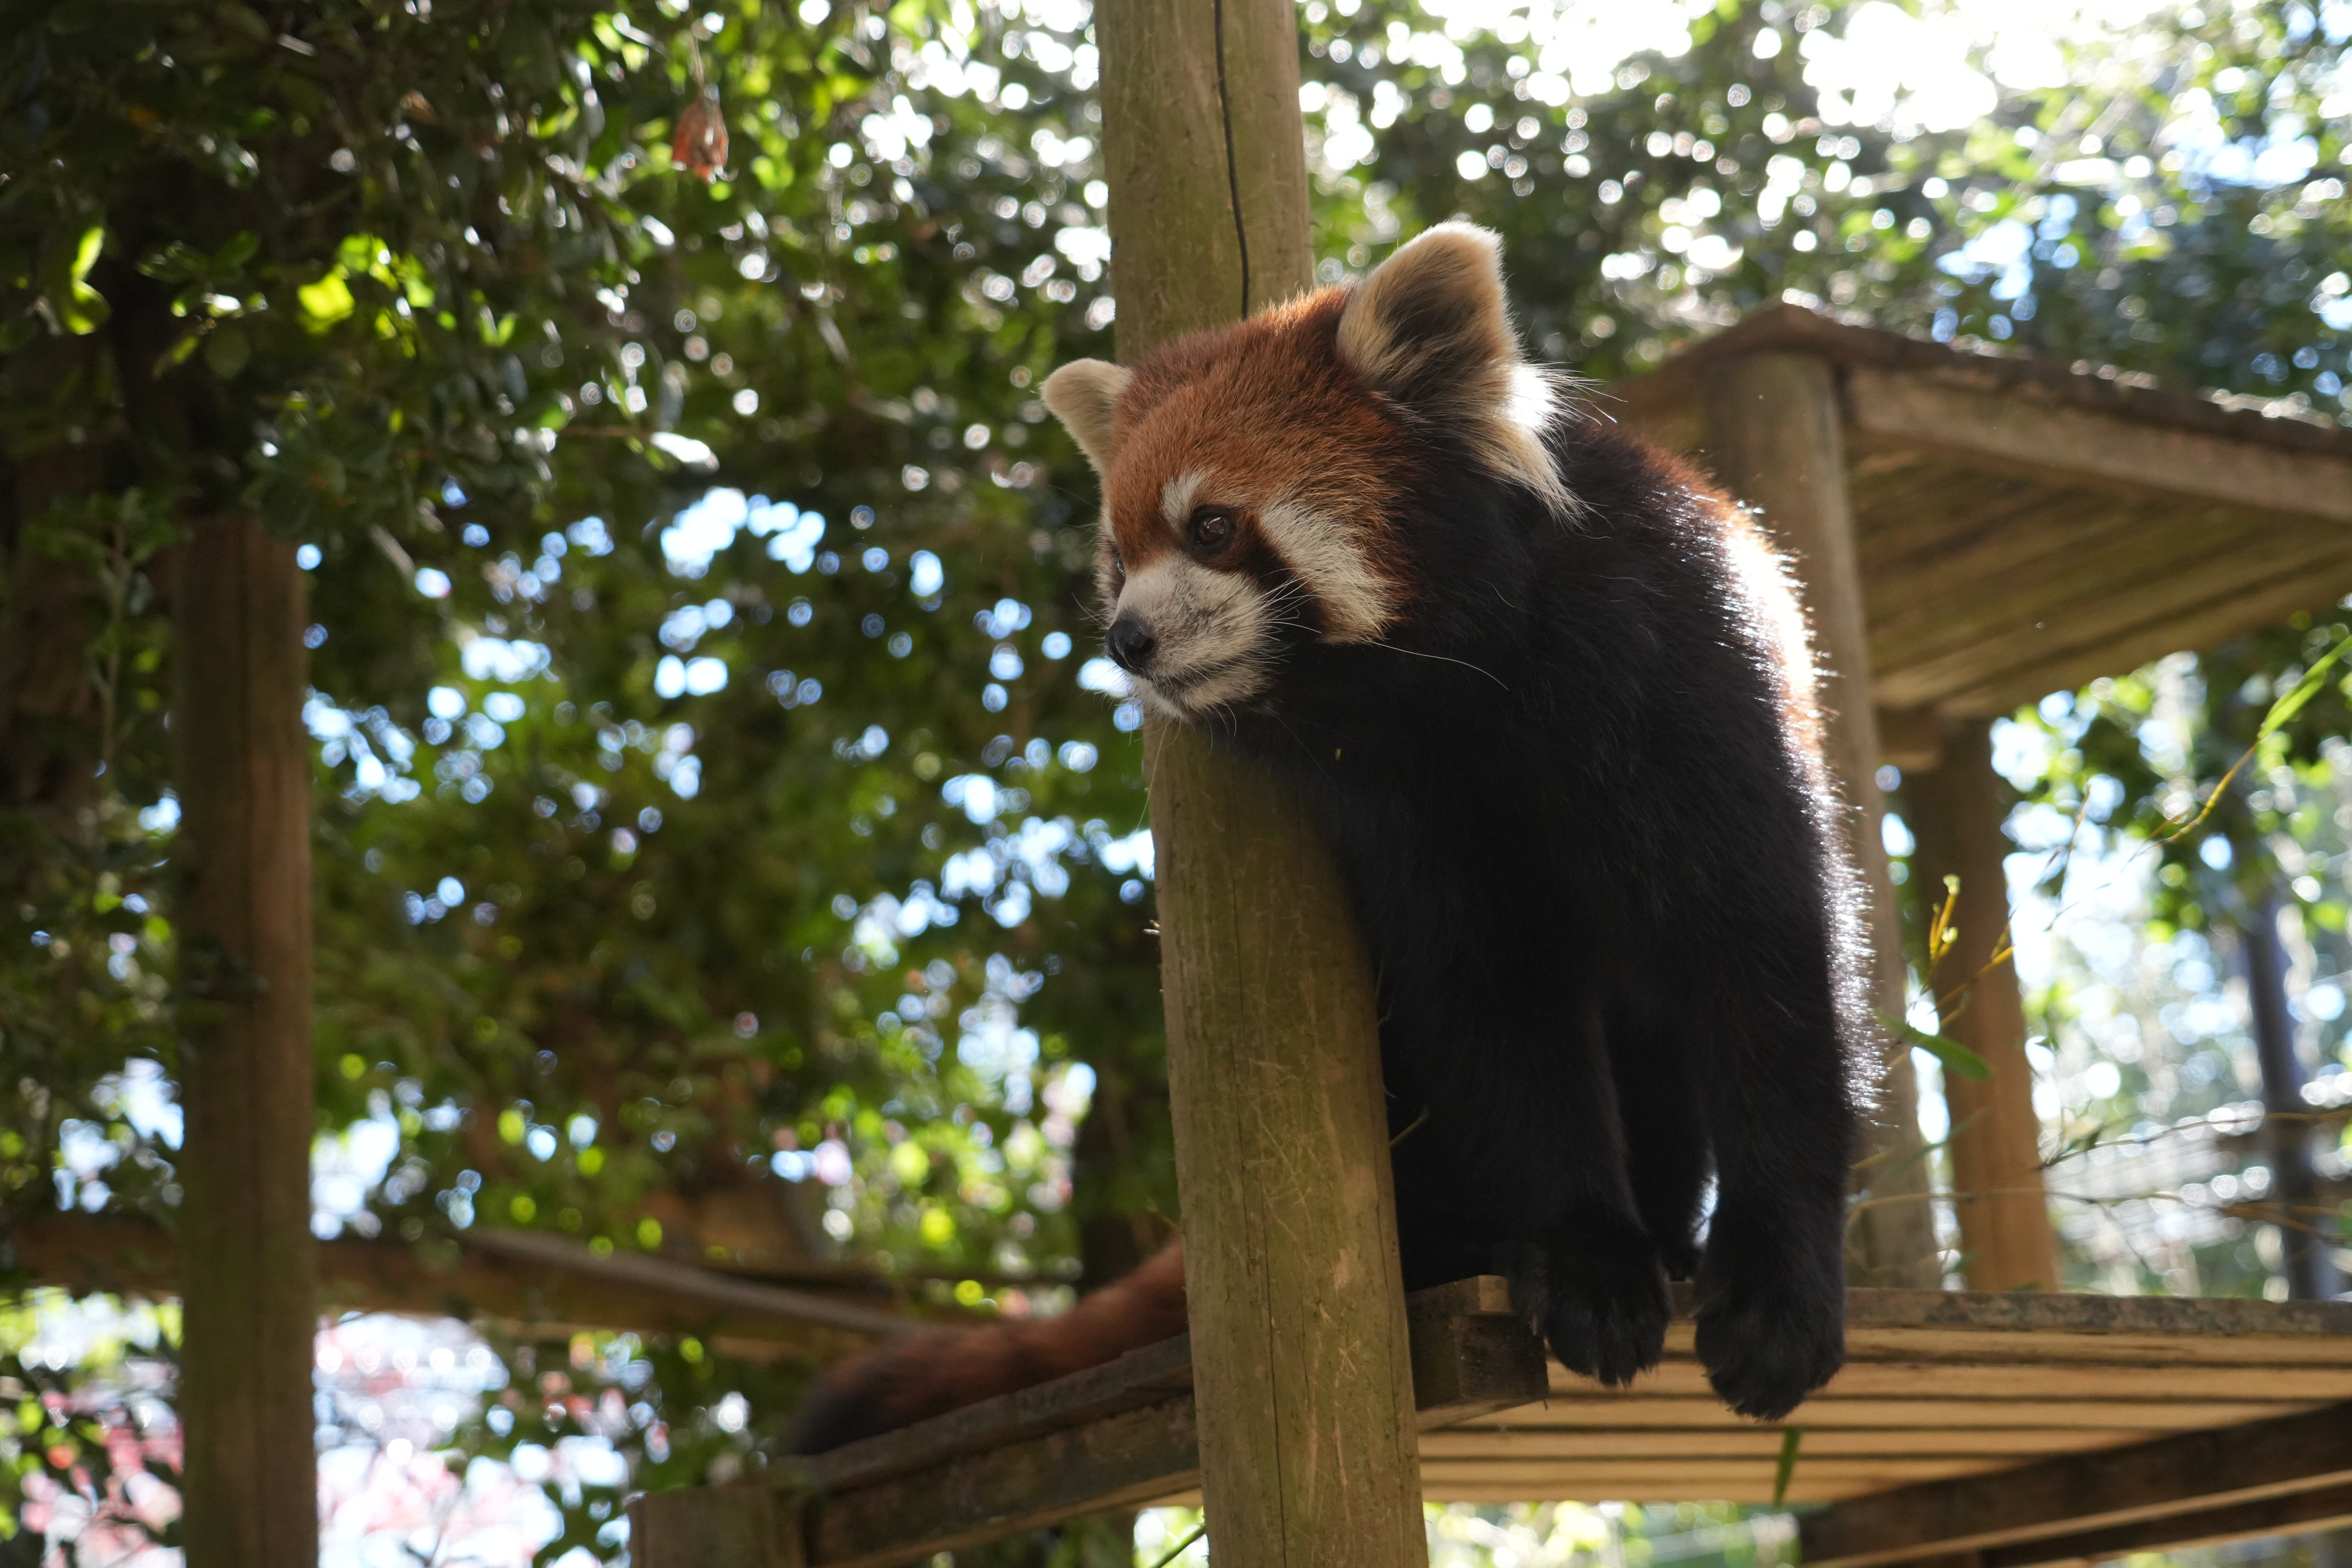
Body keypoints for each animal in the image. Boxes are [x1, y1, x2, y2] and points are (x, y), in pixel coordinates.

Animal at [799, 217, 1863, 1448]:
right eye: (1117, 557)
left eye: (1212, 527)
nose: (1127, 640)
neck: (1465, 684)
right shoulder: (1414, 823)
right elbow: (1494, 1014)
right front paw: (1585, 1263)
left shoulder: (1689, 685)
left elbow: (1767, 974)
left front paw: (1779, 1291)